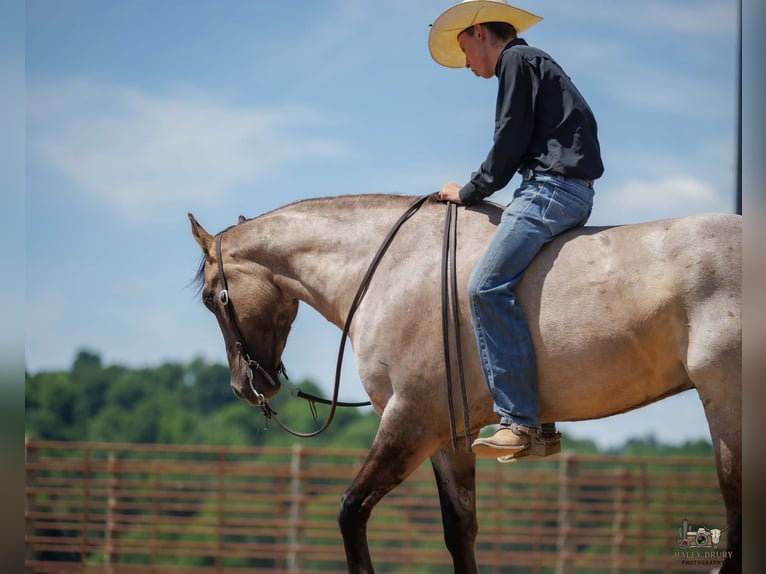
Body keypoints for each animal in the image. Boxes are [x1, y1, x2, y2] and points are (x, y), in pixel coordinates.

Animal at [189, 193, 741, 574]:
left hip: (728, 406)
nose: (244, 386)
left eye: (214, 299)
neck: (395, 270)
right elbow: (460, 530)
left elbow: (351, 510)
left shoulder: (411, 419)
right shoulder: (448, 437)